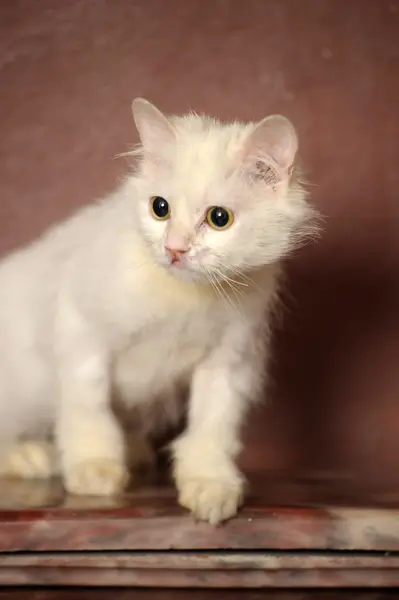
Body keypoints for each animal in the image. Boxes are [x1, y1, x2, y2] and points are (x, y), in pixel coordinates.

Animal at [0, 98, 318, 520]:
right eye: (160, 209)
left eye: (219, 218)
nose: (175, 249)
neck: (186, 297)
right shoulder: (80, 330)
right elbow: (88, 408)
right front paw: (95, 470)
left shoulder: (229, 363)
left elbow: (212, 428)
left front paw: (210, 486)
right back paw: (33, 457)